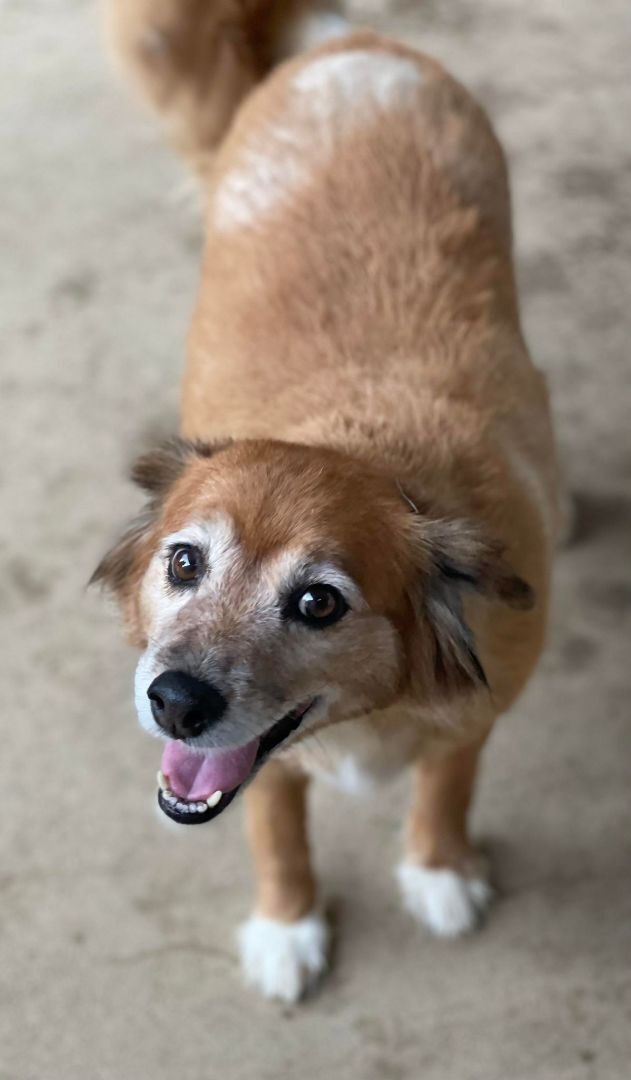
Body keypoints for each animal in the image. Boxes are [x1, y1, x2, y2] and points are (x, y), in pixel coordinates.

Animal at [93, 0, 557, 1002]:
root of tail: (347, 51)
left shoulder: (474, 717)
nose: (173, 702)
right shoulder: (256, 768)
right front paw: (287, 925)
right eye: (183, 562)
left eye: (318, 602)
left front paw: (438, 869)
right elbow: (277, 832)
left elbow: (446, 788)